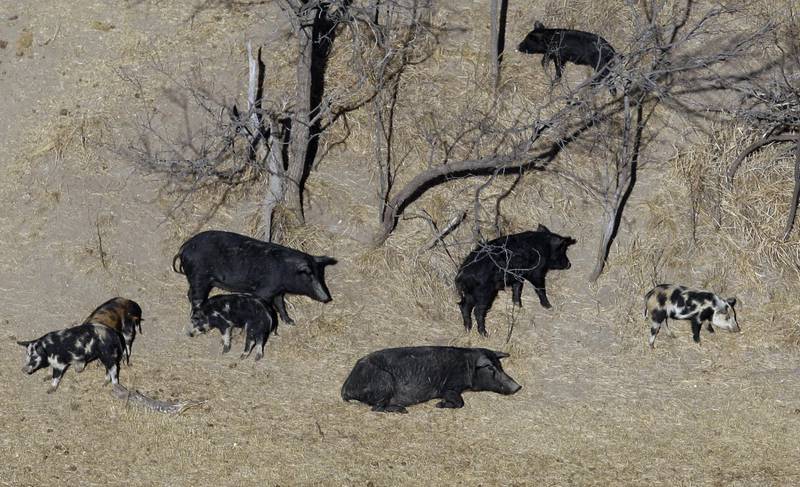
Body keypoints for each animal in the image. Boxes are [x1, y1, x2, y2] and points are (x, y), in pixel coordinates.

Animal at [172, 233, 338, 328]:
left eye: (320, 275)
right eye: (308, 275)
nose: (327, 298)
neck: (285, 271)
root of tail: (184, 248)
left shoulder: (278, 291)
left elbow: (281, 305)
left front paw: (291, 322)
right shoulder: (264, 291)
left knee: (190, 294)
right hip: (199, 277)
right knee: (196, 298)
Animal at [340, 346, 520, 414]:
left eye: (500, 366)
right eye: (491, 368)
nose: (518, 387)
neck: (467, 365)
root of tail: (345, 388)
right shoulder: (449, 386)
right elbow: (460, 402)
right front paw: (439, 405)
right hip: (384, 380)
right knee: (376, 408)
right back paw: (402, 410)